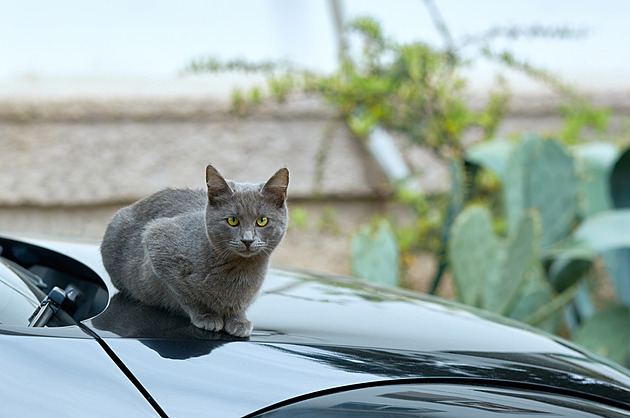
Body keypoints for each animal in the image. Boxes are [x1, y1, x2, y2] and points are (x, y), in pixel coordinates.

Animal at [102, 165, 292, 338]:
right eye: (232, 220)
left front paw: (238, 320)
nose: (247, 240)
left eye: (262, 221)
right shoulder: (156, 240)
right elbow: (185, 296)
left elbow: (239, 307)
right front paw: (206, 316)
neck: (240, 271)